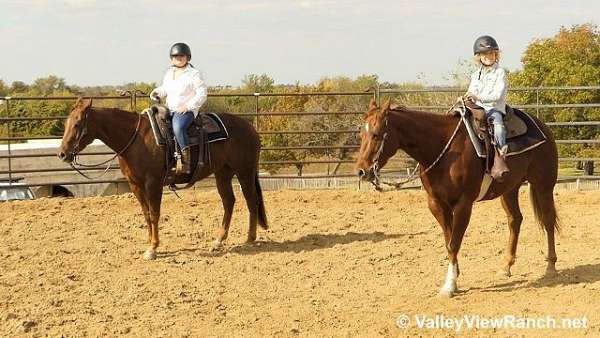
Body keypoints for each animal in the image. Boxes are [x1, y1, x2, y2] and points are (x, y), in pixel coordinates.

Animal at [58, 97, 268, 258]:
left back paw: (250, 238)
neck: (136, 139)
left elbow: (154, 213)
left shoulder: (153, 183)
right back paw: (218, 240)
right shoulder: (135, 185)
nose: (62, 154)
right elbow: (145, 214)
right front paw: (149, 241)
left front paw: (153, 248)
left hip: (245, 171)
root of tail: (250, 127)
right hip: (223, 173)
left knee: (251, 200)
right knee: (229, 201)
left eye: (77, 124)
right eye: (66, 124)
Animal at [356, 98, 556, 298]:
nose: (361, 171)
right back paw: (506, 267)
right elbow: (449, 240)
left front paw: (449, 286)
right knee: (515, 220)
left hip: (544, 185)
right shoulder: (436, 204)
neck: (443, 149)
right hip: (509, 189)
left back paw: (551, 266)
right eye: (361, 134)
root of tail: (542, 127)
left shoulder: (463, 205)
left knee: (548, 220)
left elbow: (454, 243)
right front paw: (455, 276)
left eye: (376, 134)